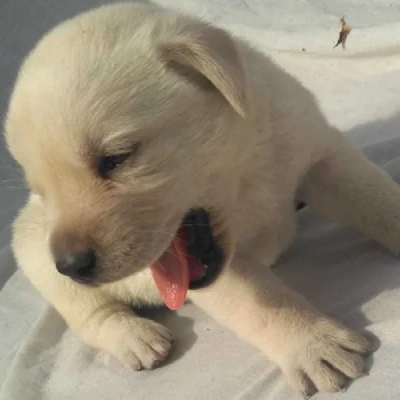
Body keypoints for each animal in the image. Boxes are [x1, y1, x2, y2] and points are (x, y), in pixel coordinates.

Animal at [6, 2, 400, 396]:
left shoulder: (320, 154)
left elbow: (374, 196)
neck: (244, 173)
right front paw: (313, 343)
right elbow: (259, 302)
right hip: (34, 253)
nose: (70, 265)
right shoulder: (220, 273)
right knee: (86, 311)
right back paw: (135, 337)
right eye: (42, 192)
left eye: (115, 158)